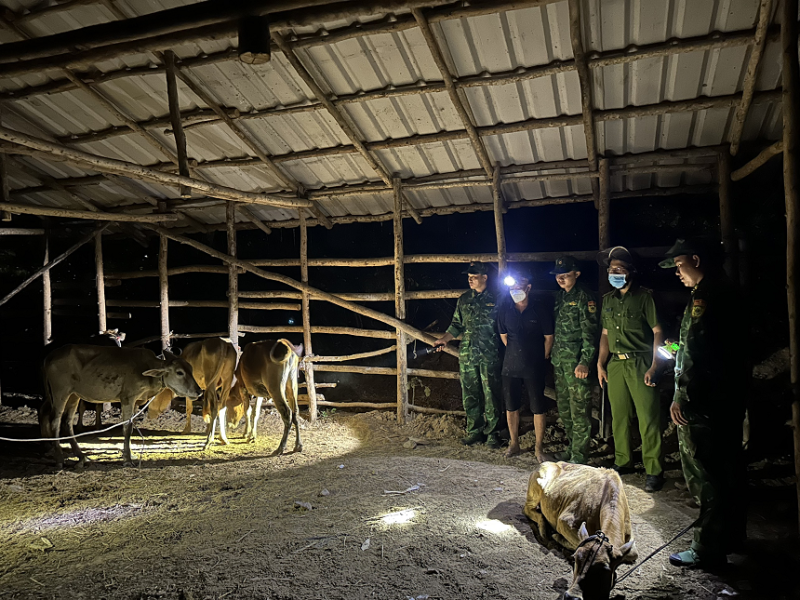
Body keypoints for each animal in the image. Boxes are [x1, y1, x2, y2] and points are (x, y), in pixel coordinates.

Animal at [41, 342, 202, 468]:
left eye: (191, 369)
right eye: (179, 372)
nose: (199, 391)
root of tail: (50, 356)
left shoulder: (136, 402)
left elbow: (132, 426)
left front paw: (131, 454)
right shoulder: (127, 398)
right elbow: (127, 428)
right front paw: (127, 460)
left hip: (74, 395)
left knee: (67, 422)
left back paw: (82, 456)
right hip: (60, 392)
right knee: (55, 421)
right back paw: (60, 459)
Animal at [524, 462, 636, 600]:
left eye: (604, 569)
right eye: (575, 558)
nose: (572, 597)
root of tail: (555, 463)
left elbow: (633, 555)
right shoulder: (564, 521)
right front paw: (556, 538)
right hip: (534, 493)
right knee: (529, 510)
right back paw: (545, 530)